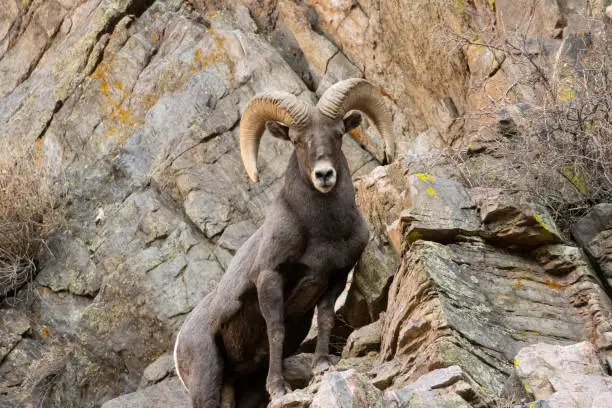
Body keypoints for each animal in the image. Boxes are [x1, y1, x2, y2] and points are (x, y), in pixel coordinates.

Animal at [173, 78, 392, 406]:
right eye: (296, 140)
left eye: (338, 133)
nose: (324, 175)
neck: (323, 233)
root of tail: (179, 345)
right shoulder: (269, 278)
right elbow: (275, 329)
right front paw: (279, 387)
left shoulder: (335, 277)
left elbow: (326, 318)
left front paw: (321, 365)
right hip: (206, 378)